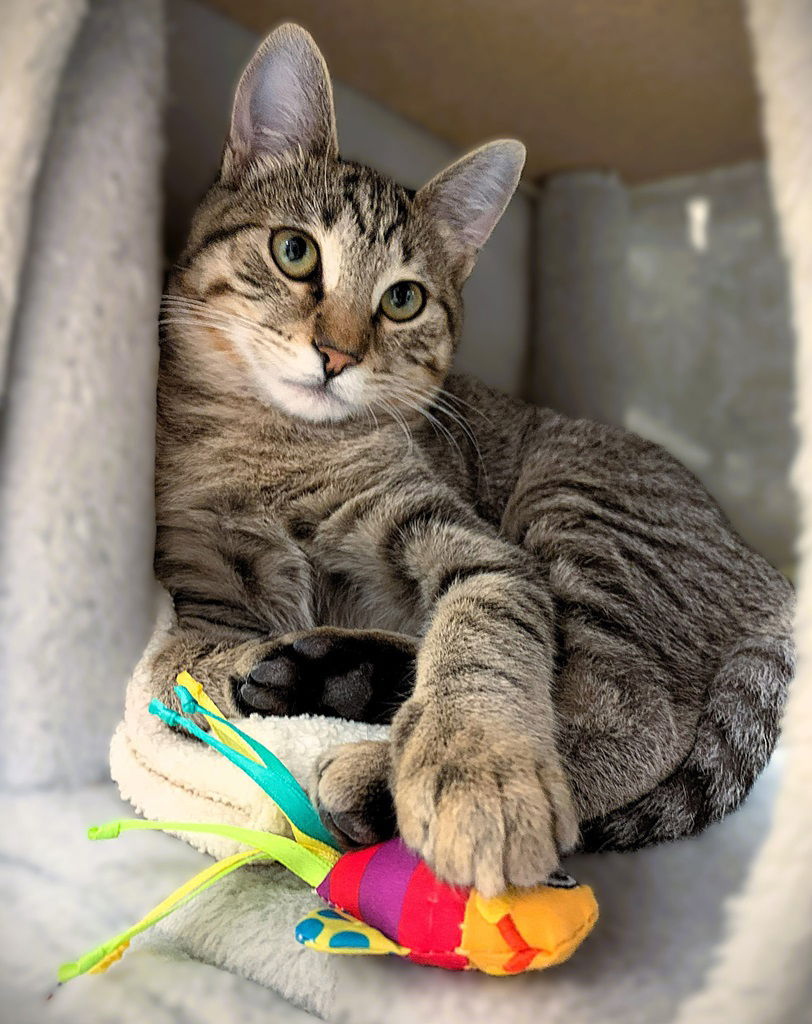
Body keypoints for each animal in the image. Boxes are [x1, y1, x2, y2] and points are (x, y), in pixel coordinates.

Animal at [148, 19, 794, 892]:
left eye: (403, 299)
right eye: (294, 252)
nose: (337, 354)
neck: (276, 446)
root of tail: (767, 575)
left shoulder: (474, 548)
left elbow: (486, 639)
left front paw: (478, 772)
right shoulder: (198, 573)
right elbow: (187, 658)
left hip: (584, 511)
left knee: (631, 712)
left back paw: (379, 771)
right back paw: (337, 673)